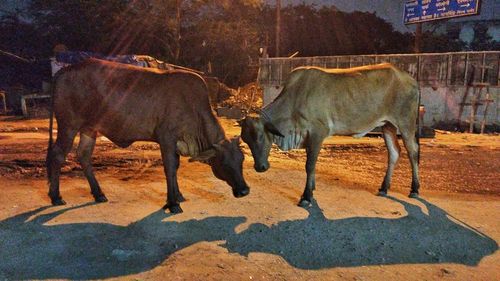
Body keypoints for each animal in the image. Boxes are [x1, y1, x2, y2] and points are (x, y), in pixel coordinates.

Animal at [47, 58, 250, 212]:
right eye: (224, 162)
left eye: (241, 160)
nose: (244, 190)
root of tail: (64, 70)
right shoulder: (166, 138)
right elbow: (170, 168)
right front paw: (172, 203)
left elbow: (176, 167)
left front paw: (178, 195)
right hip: (68, 125)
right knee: (57, 155)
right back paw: (56, 197)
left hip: (89, 129)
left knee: (83, 155)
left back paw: (99, 194)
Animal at [240, 62, 420, 206]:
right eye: (245, 140)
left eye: (260, 136)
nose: (260, 167)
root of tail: (411, 79)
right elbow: (311, 165)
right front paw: (311, 190)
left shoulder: (317, 133)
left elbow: (309, 165)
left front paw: (306, 196)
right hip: (387, 125)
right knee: (394, 153)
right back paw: (384, 188)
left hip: (406, 124)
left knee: (413, 152)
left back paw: (414, 189)